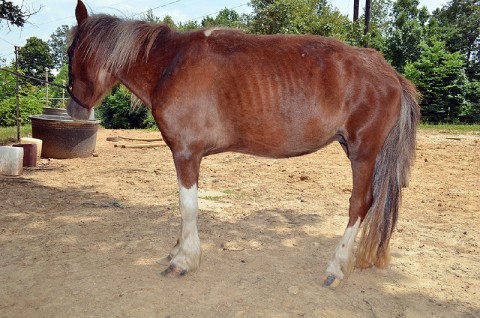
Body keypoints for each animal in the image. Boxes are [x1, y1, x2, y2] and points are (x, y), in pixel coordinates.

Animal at [67, 0, 420, 288]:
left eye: (70, 51)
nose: (74, 108)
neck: (170, 63)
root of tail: (390, 73)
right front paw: (177, 250)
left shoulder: (186, 153)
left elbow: (187, 205)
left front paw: (184, 259)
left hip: (363, 152)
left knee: (359, 204)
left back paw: (336, 266)